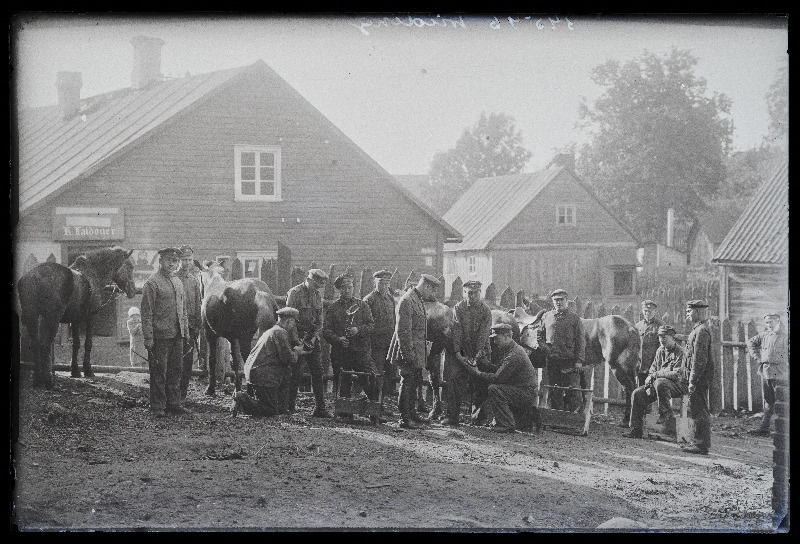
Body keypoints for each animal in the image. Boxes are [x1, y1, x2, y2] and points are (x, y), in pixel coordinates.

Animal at [17, 246, 135, 386]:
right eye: (130, 266)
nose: (133, 291)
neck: (92, 274)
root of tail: (35, 275)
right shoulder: (91, 318)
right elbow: (87, 343)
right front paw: (87, 370)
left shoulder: (74, 320)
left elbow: (76, 343)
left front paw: (75, 371)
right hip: (52, 320)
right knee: (45, 345)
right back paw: (48, 381)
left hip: (34, 318)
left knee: (35, 344)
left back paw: (37, 379)